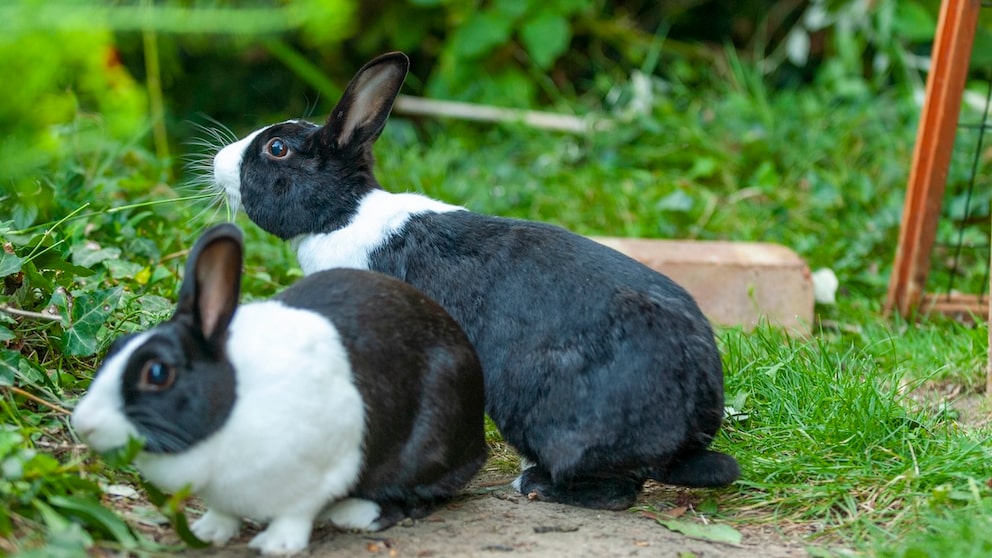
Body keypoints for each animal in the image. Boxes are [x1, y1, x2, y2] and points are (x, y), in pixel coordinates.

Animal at [70, 223, 488, 556]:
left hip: (431, 435)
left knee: (418, 494)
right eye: (116, 347)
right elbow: (223, 513)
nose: (84, 424)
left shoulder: (319, 472)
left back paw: (354, 514)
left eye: (157, 372)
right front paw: (209, 533)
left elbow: (296, 513)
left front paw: (276, 545)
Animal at [209, 52, 736, 512]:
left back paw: (535, 485)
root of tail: (689, 425)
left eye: (277, 149)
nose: (218, 160)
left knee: (613, 489)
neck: (341, 216)